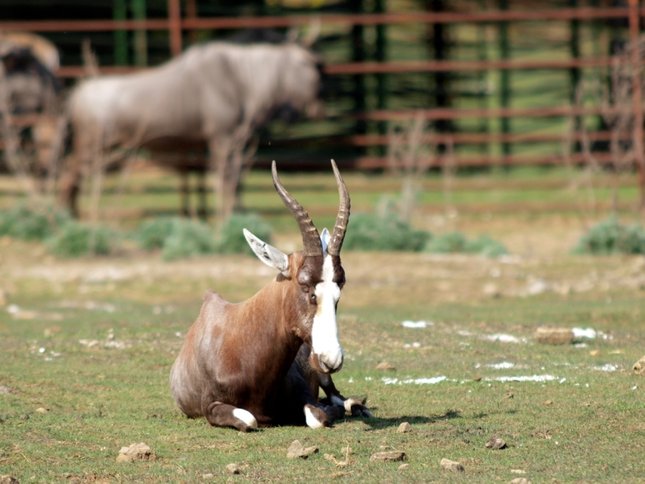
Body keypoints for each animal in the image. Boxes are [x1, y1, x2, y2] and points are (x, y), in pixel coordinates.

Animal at [169, 160, 370, 432]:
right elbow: (249, 419)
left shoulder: (305, 395)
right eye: (307, 288)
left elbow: (317, 416)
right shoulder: (210, 406)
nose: (332, 359)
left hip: (322, 376)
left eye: (338, 293)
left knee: (339, 398)